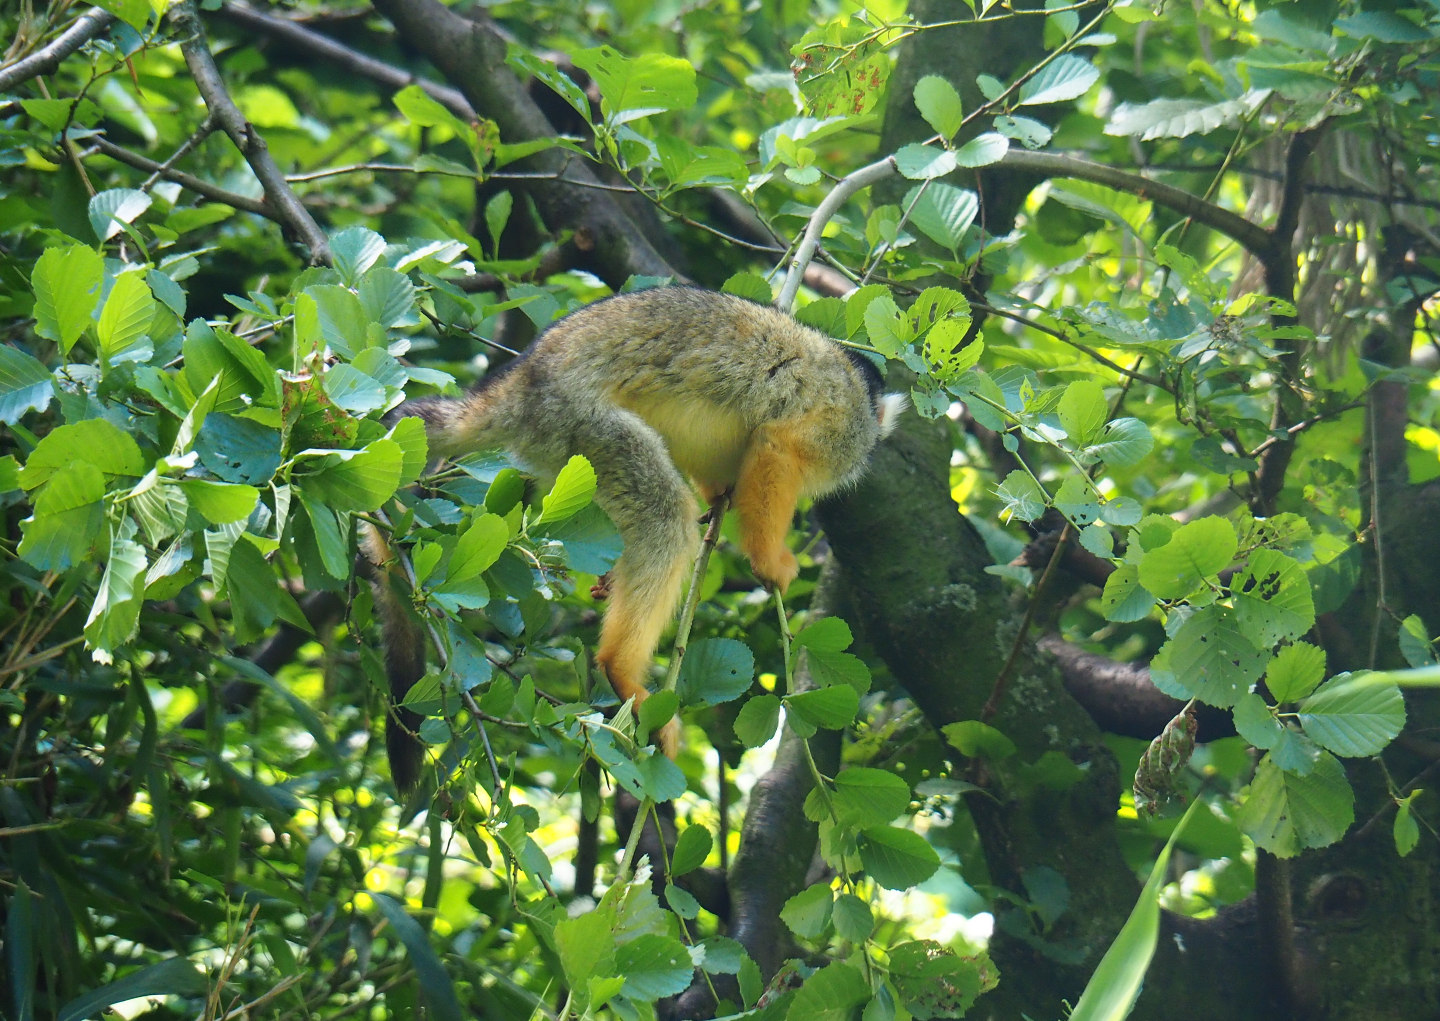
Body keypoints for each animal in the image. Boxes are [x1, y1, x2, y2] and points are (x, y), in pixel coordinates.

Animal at [369, 286, 905, 790]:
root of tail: (517, 386)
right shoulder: (841, 422)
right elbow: (776, 445)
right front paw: (769, 561)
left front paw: (720, 496)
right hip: (581, 426)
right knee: (664, 517)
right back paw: (620, 670)